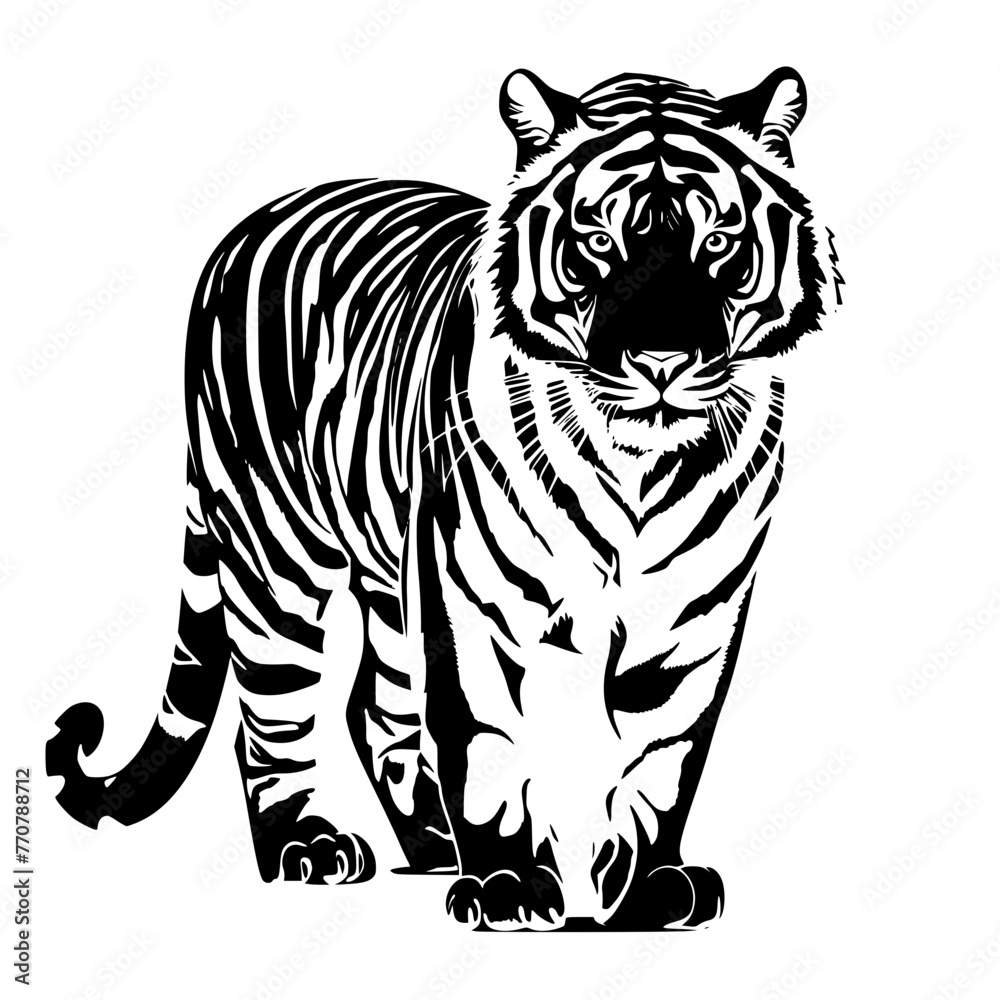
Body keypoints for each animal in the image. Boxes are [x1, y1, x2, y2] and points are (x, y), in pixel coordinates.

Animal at [47, 66, 842, 931]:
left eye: (718, 243)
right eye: (598, 243)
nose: (662, 360)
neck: (633, 467)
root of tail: (245, 231)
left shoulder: (693, 612)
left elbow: (666, 752)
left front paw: (645, 886)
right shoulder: (468, 595)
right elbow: (484, 739)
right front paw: (509, 886)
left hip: (386, 573)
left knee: (373, 704)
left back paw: (429, 841)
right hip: (276, 555)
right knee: (272, 712)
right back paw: (309, 844)